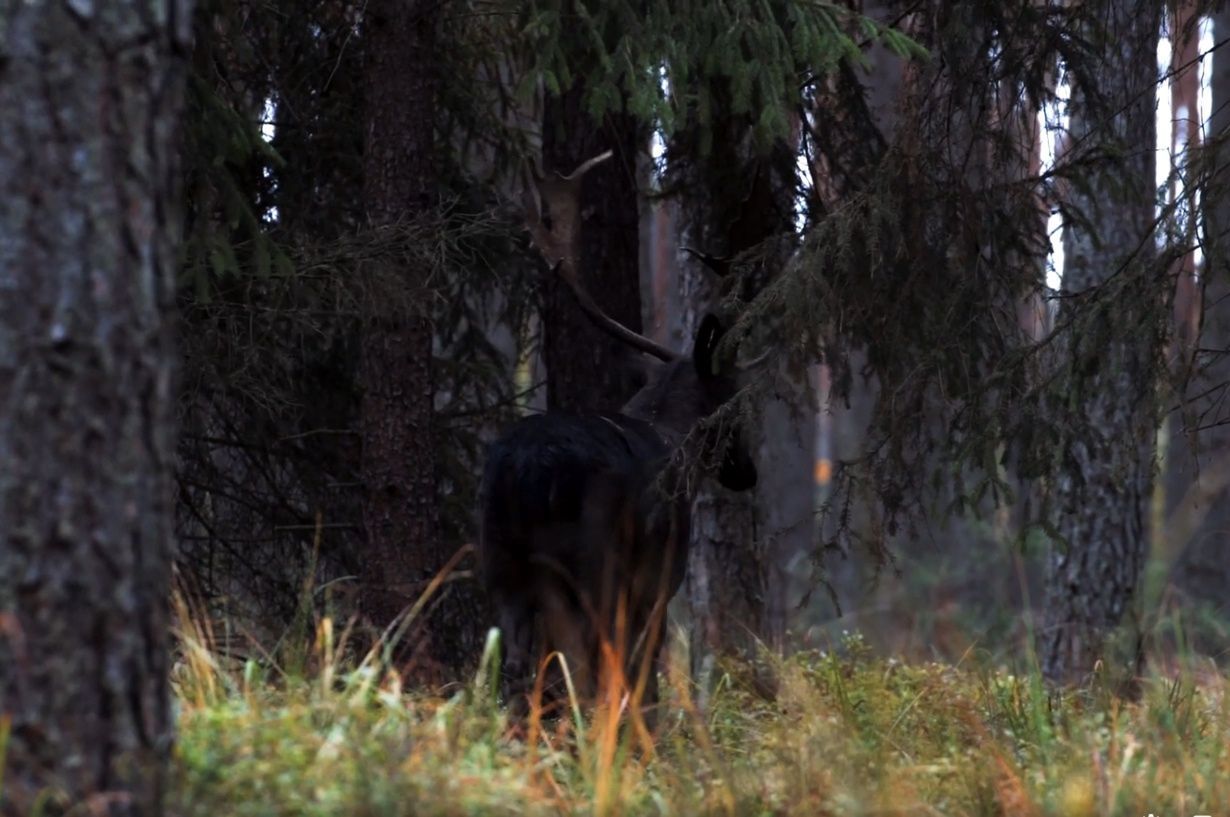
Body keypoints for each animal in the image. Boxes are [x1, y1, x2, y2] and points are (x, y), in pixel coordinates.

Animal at [477, 150, 757, 718]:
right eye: (736, 403)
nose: (749, 471)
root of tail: (527, 470)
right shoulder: (659, 577)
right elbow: (643, 676)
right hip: (592, 562)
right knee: (589, 672)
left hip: (501, 561)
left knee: (517, 669)